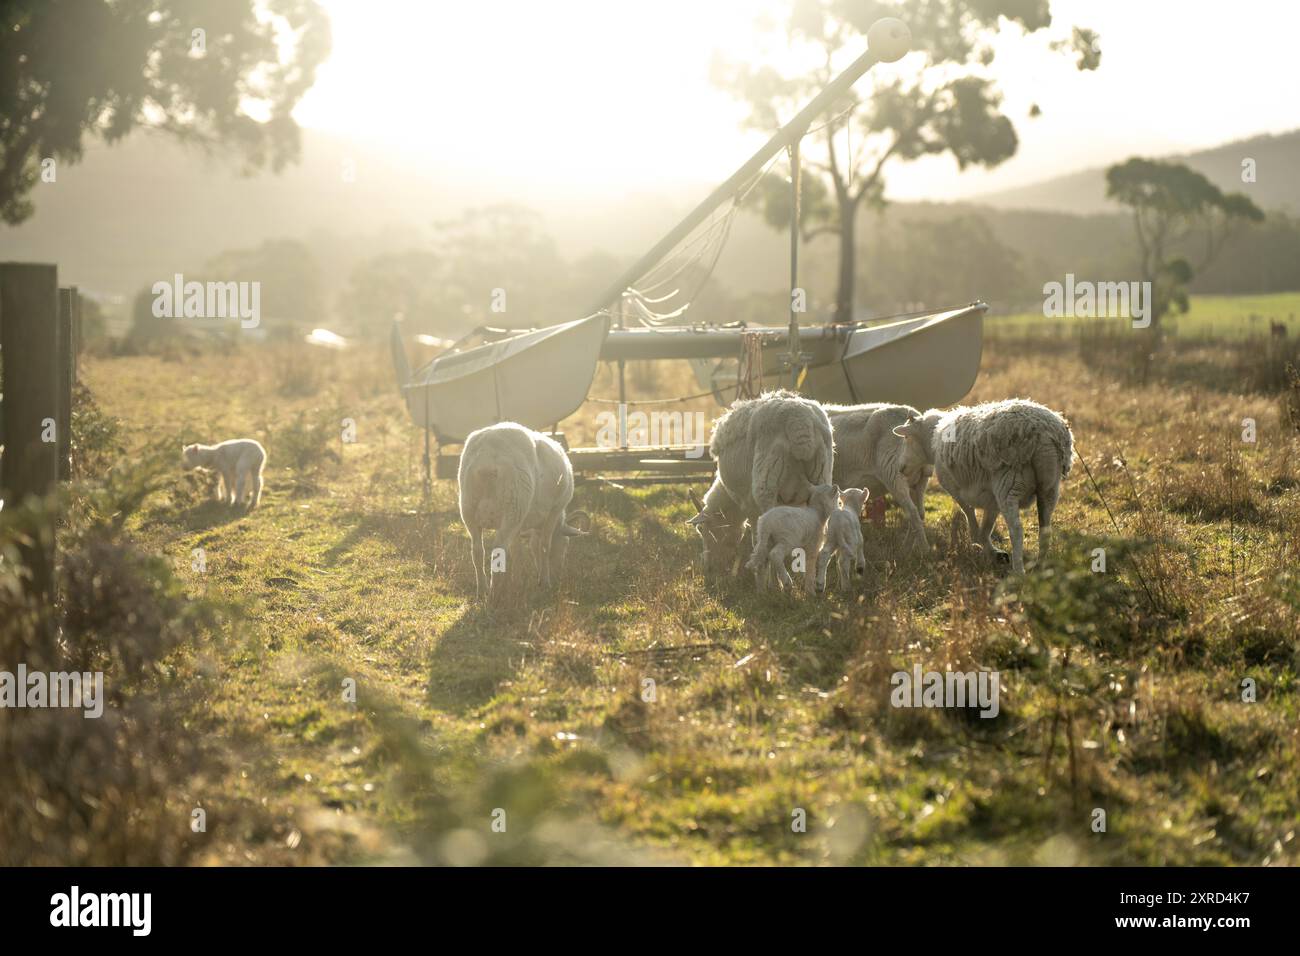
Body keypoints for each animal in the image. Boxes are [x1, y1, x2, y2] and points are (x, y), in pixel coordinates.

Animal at [452, 421, 585, 600]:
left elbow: (518, 551)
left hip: (469, 508)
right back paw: (495, 591)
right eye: (565, 544)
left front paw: (517, 581)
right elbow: (544, 546)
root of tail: (488, 455)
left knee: (477, 551)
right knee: (498, 549)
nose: (558, 576)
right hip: (513, 506)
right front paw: (545, 582)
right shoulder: (554, 511)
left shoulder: (520, 524)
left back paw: (482, 590)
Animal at [894, 398, 1076, 572]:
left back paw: (1019, 571)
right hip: (1050, 486)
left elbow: (969, 514)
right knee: (1045, 528)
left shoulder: (955, 488)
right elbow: (986, 526)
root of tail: (1043, 434)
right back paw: (1041, 566)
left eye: (906, 438)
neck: (933, 440)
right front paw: (995, 553)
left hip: (1008, 483)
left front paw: (985, 547)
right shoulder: (991, 497)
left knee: (1017, 530)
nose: (901, 468)